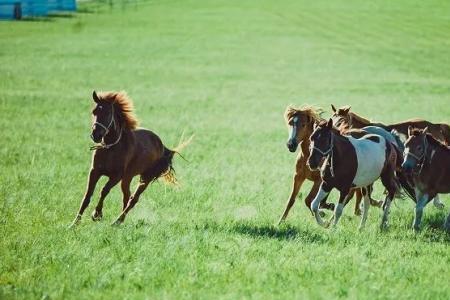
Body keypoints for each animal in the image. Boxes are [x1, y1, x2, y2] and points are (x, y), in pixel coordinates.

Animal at [69, 91, 191, 227]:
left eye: (108, 113)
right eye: (94, 112)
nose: (95, 135)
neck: (111, 147)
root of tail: (161, 145)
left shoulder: (116, 176)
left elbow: (104, 190)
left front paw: (97, 214)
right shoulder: (95, 172)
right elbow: (87, 195)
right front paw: (74, 223)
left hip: (145, 178)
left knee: (133, 199)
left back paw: (116, 221)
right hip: (128, 177)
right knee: (127, 197)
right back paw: (120, 221)